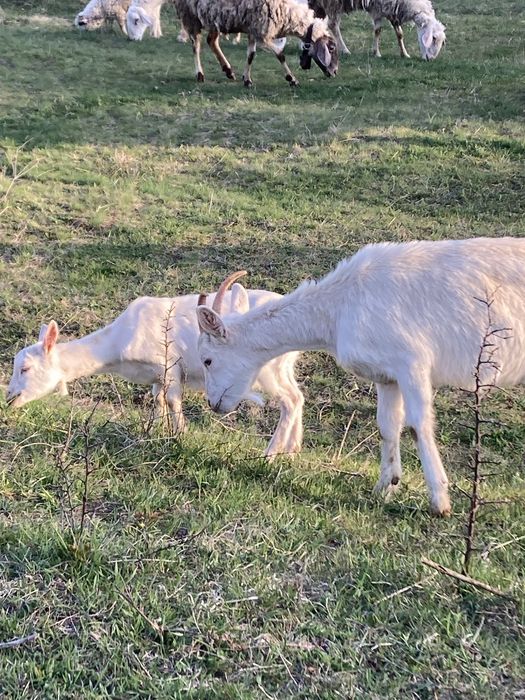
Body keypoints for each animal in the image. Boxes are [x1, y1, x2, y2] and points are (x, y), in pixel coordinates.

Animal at [6, 273, 304, 459]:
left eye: (25, 369)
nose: (9, 398)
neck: (119, 343)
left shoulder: (169, 365)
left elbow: (172, 401)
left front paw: (180, 435)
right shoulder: (156, 378)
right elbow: (158, 401)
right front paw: (157, 431)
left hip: (266, 368)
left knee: (289, 400)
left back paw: (271, 454)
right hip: (281, 368)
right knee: (297, 397)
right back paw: (292, 449)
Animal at [197, 238, 525, 515]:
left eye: (207, 360)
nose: (214, 404)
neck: (341, 307)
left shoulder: (412, 363)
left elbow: (418, 425)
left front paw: (440, 502)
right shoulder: (386, 374)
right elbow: (388, 426)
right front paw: (385, 487)